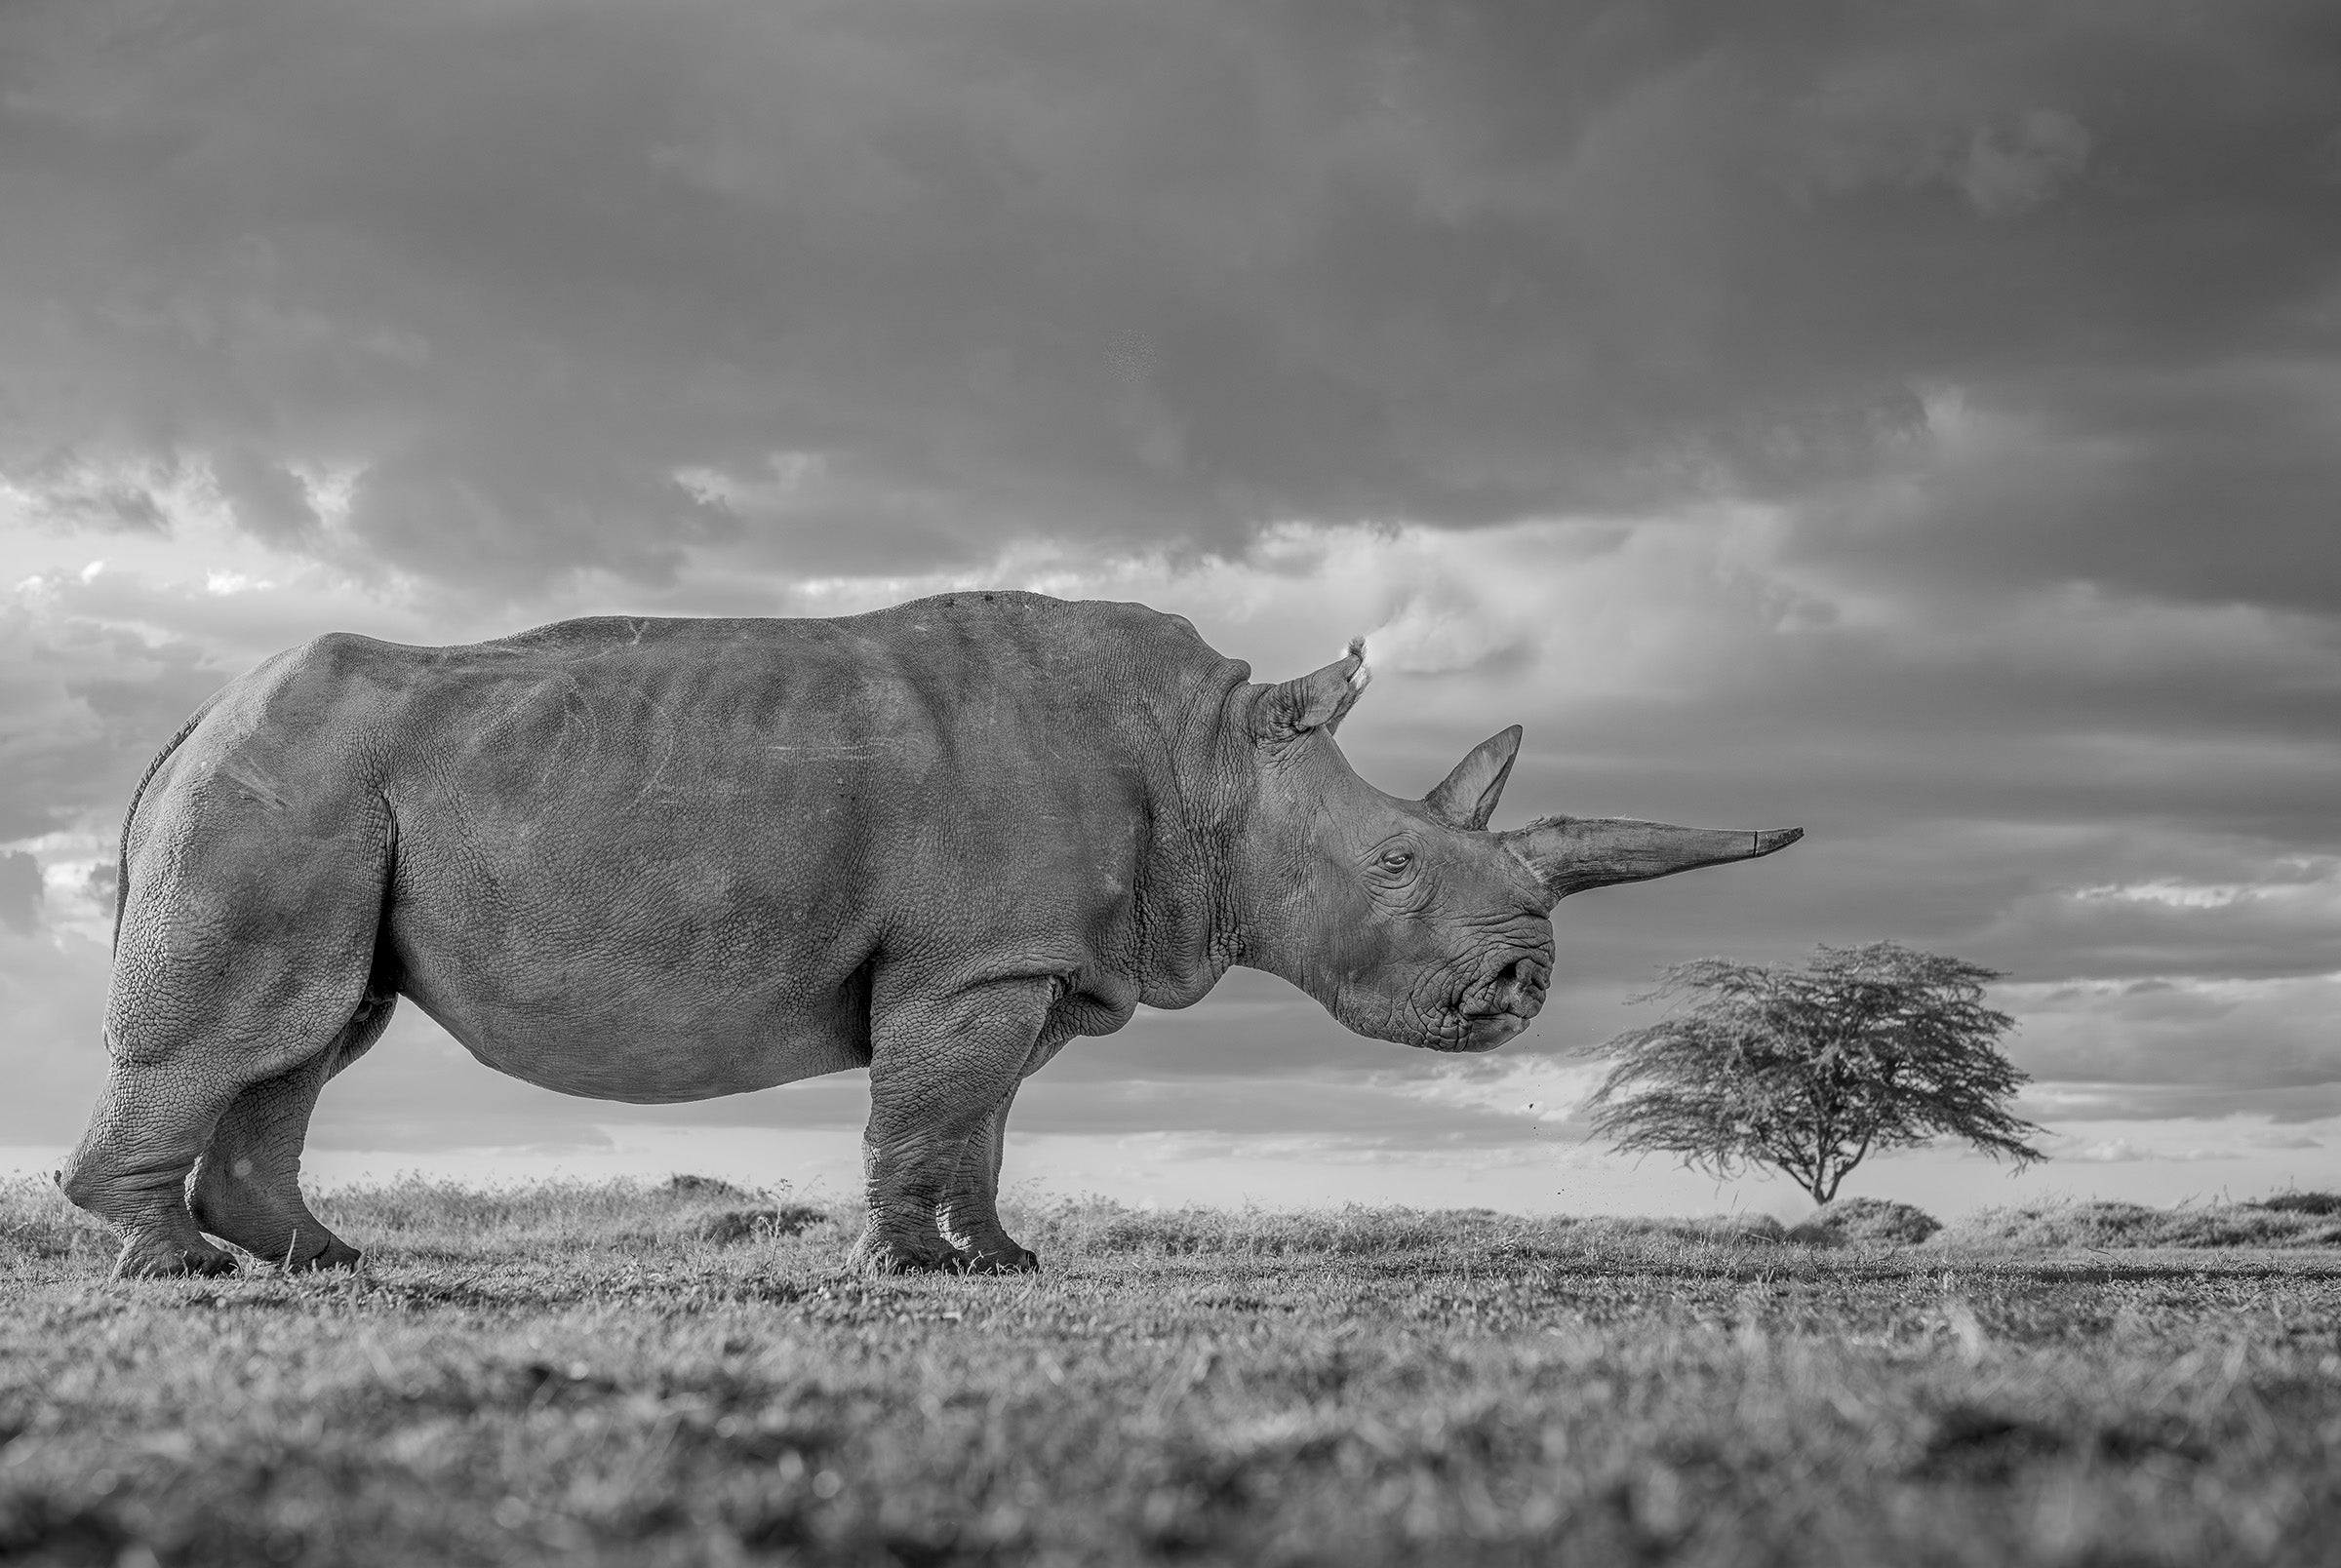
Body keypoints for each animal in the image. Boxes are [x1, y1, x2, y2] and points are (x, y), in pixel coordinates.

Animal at [59, 591, 1798, 1277]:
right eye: (1391, 862)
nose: (1521, 985)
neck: (1219, 760)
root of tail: (186, 722)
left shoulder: (1028, 960)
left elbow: (982, 1117)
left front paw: (1003, 1261)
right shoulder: (973, 958)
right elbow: (929, 1104)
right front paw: (902, 1268)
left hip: (324, 789)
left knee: (318, 1030)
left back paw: (321, 1263)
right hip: (286, 776)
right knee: (264, 1021)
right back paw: (188, 1272)